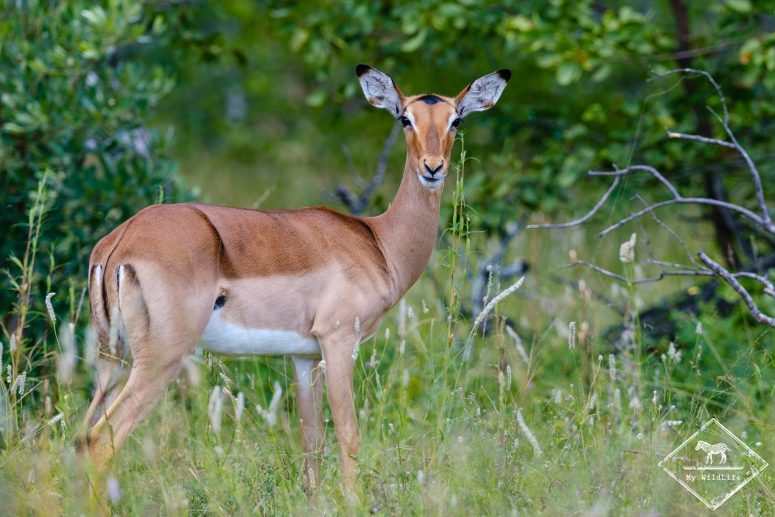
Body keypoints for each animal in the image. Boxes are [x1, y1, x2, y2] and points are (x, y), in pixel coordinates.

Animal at [81, 64, 510, 491]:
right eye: (405, 118)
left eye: (456, 119)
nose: (433, 167)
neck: (378, 242)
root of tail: (119, 242)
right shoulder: (339, 340)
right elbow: (349, 435)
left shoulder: (304, 356)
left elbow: (312, 444)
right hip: (160, 357)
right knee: (101, 440)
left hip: (112, 359)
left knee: (81, 436)